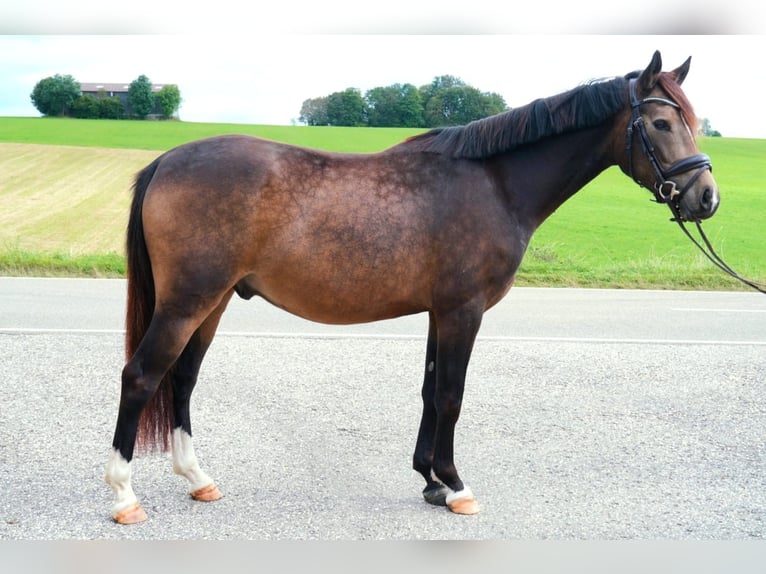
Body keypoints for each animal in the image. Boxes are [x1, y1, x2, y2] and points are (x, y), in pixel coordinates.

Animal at [106, 51, 720, 524]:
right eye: (662, 124)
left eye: (691, 120)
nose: (706, 197)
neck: (495, 183)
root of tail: (165, 161)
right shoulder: (463, 311)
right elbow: (451, 395)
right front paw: (456, 485)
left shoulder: (437, 312)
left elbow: (429, 391)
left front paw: (430, 480)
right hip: (187, 302)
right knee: (141, 377)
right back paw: (125, 496)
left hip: (208, 304)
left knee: (182, 380)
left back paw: (197, 479)